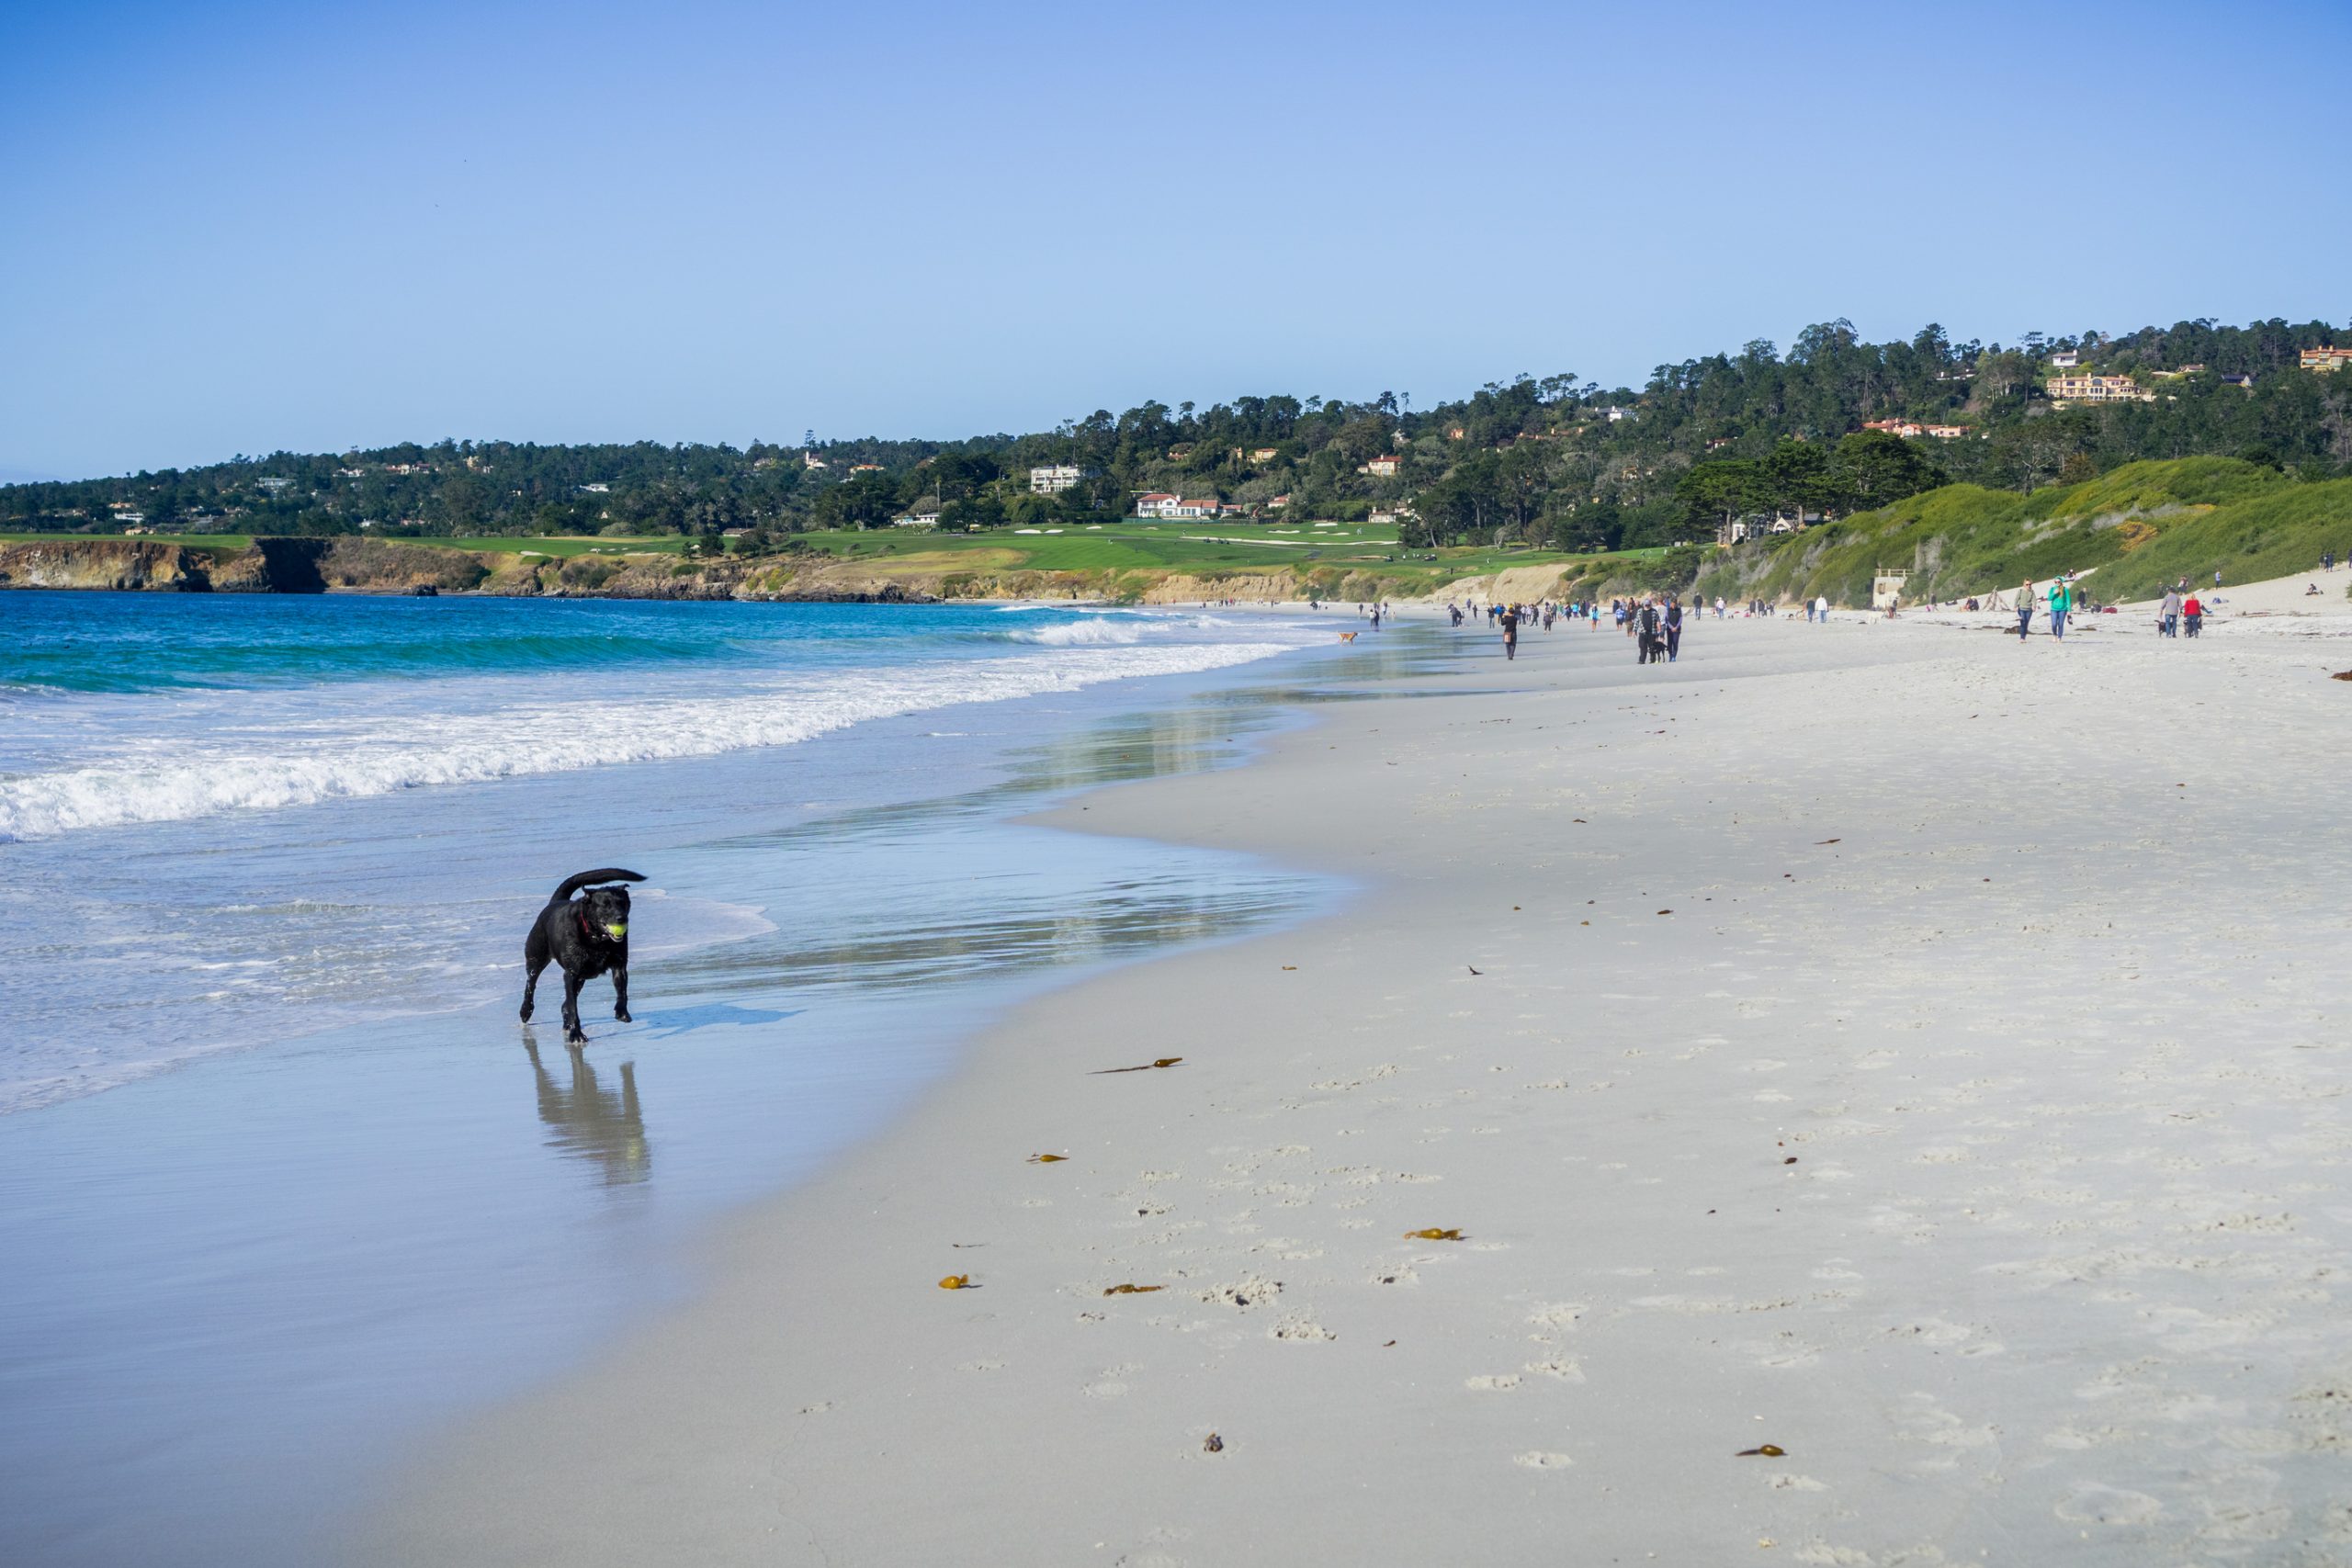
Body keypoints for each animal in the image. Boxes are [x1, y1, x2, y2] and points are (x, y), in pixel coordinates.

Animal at [522, 869, 649, 1043]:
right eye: (605, 905)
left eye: (622, 903)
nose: (622, 918)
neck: (597, 939)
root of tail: (555, 902)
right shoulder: (571, 974)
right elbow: (573, 1007)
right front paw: (577, 1034)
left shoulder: (619, 965)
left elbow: (622, 990)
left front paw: (622, 1012)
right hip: (536, 956)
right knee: (531, 982)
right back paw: (526, 1011)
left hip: (582, 977)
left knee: (564, 1004)